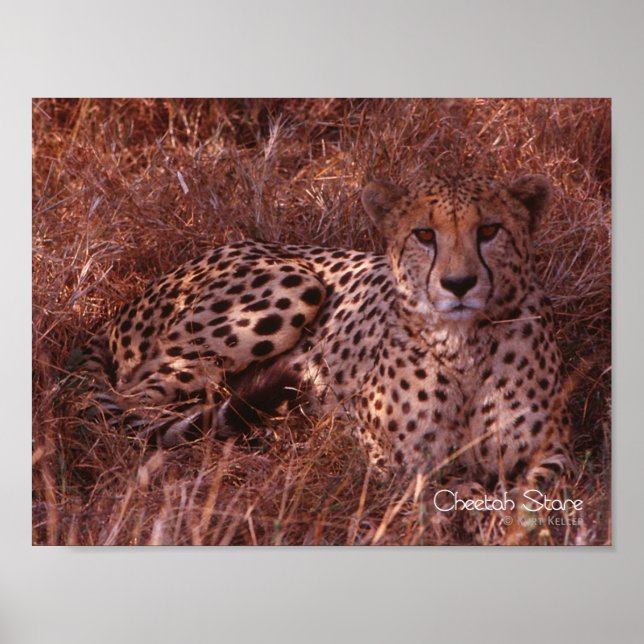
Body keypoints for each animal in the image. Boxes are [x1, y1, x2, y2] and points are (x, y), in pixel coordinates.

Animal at [77, 172, 572, 487]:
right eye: (424, 235)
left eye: (489, 230)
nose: (459, 284)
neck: (463, 345)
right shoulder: (393, 461)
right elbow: (448, 490)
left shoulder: (555, 453)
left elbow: (533, 492)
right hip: (294, 285)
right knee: (133, 404)